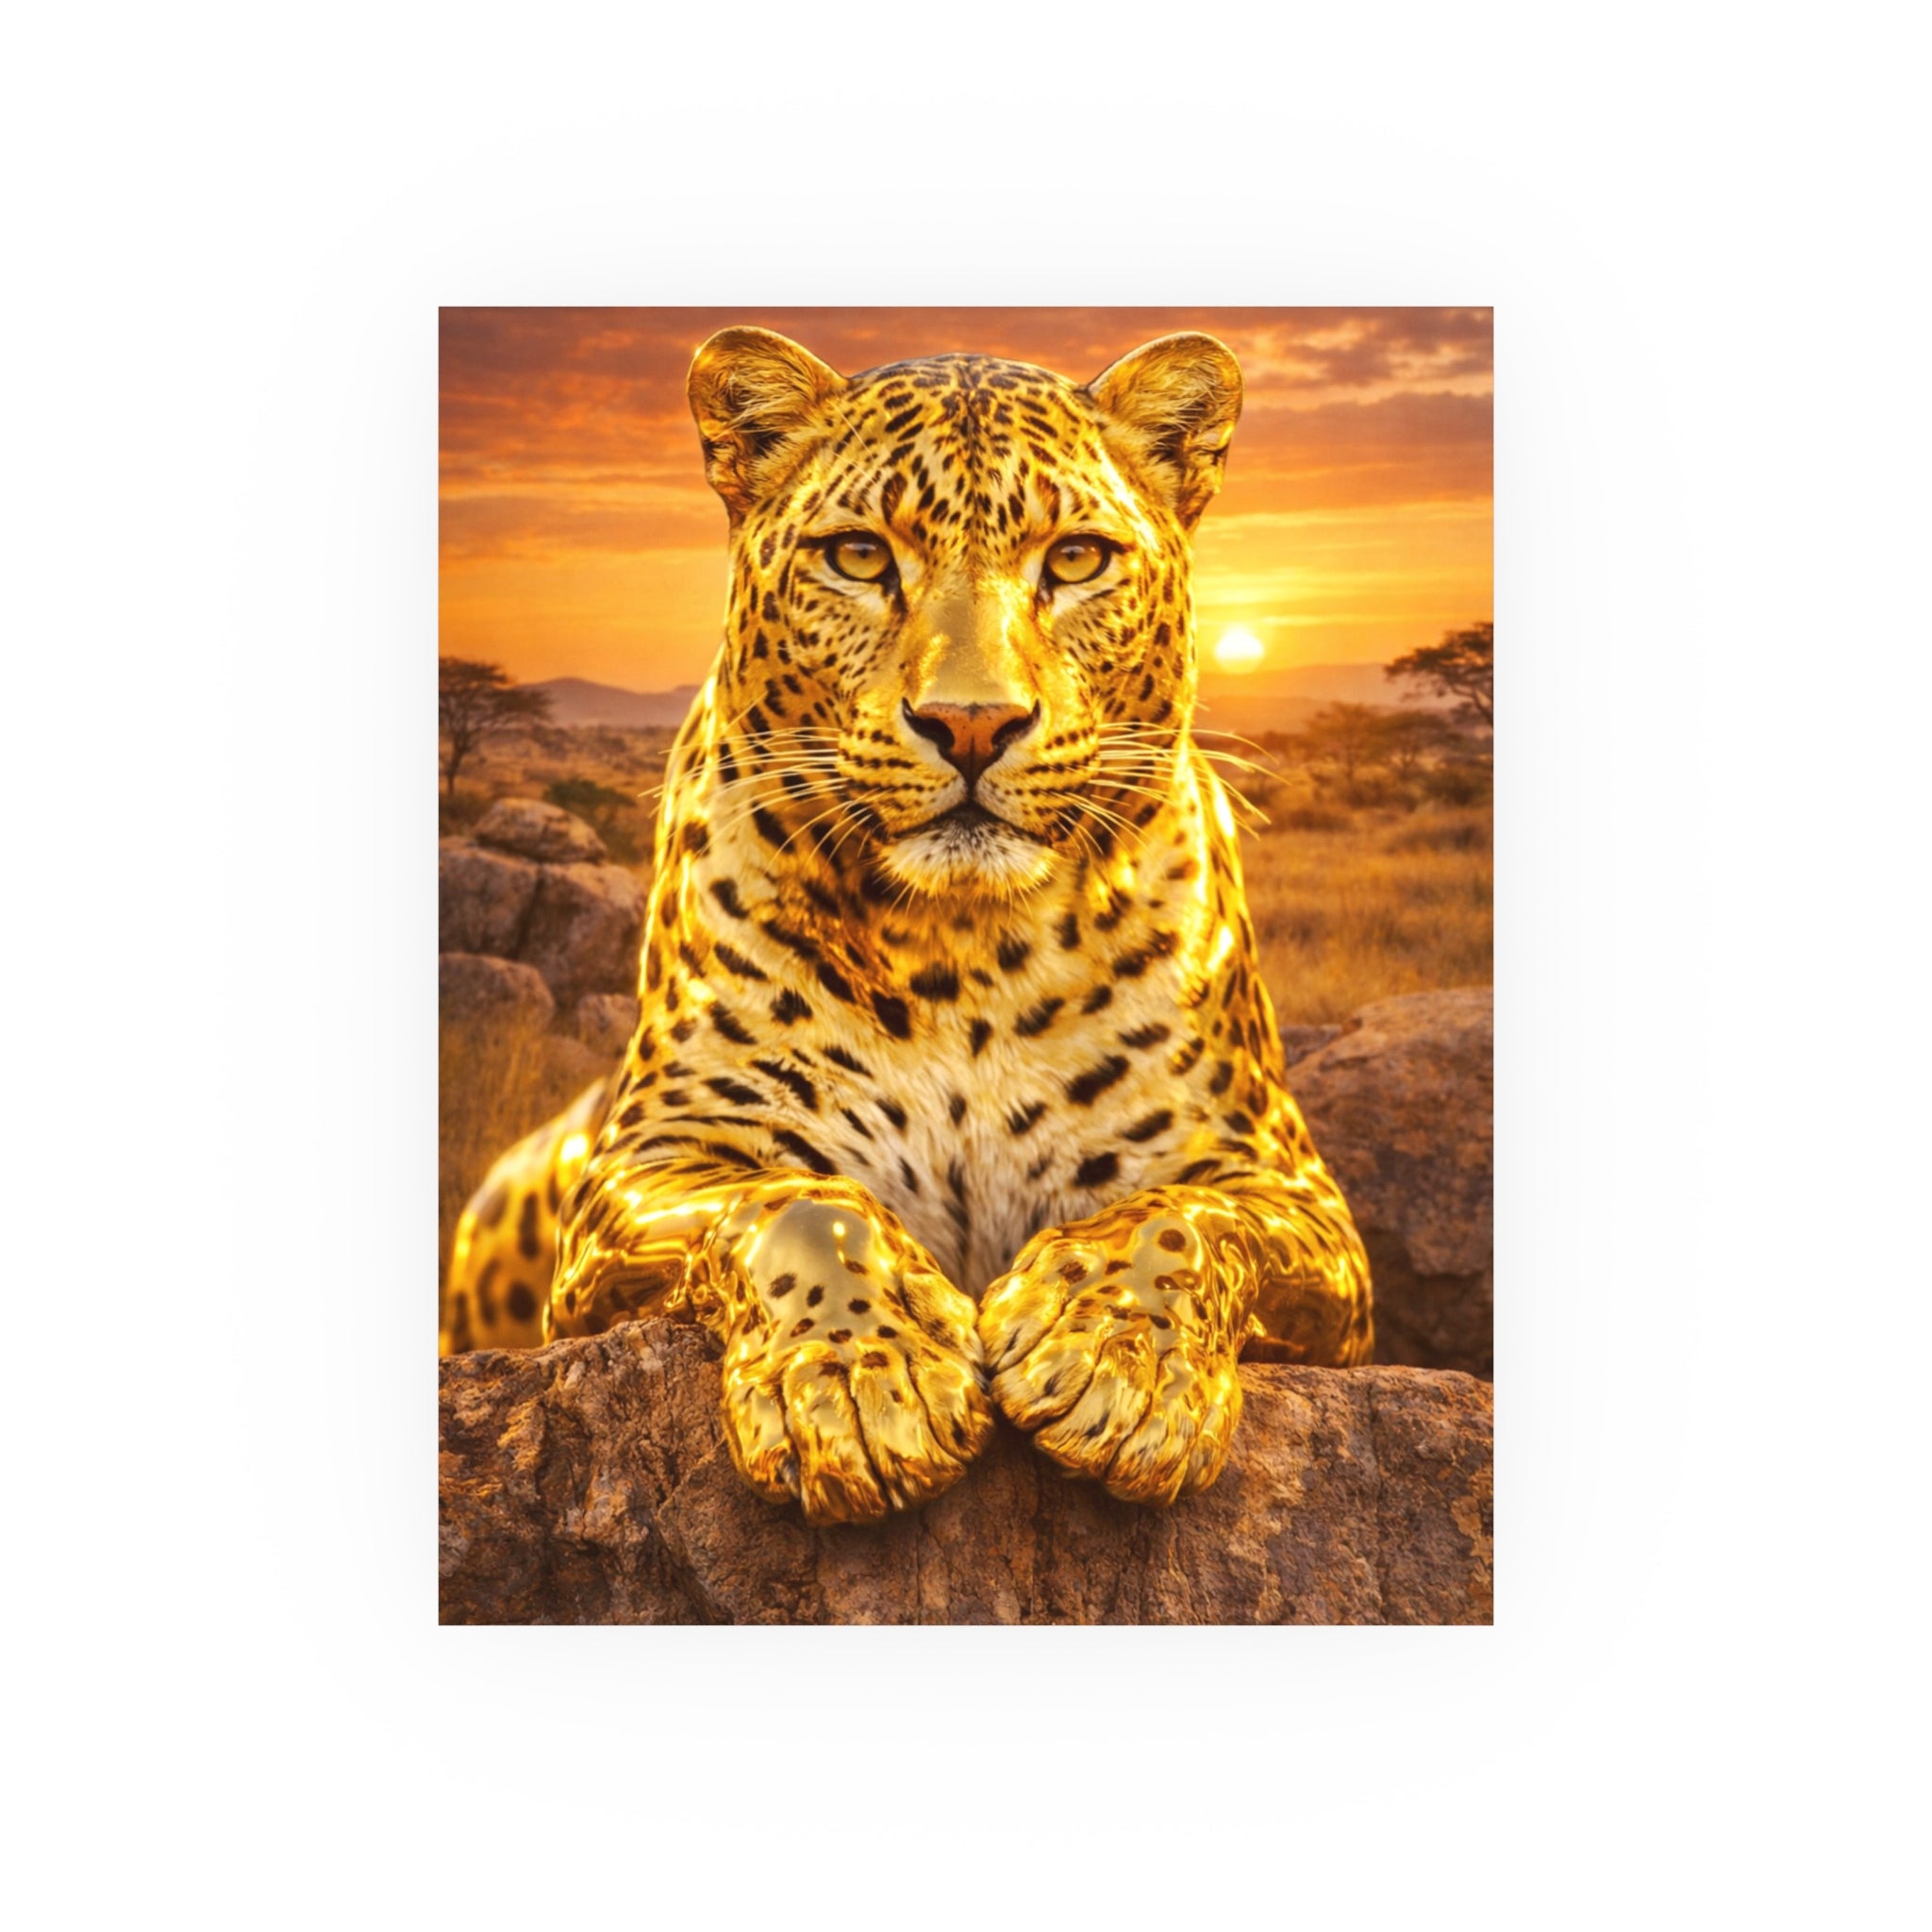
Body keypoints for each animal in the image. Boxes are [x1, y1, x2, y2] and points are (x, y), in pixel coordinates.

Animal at [441, 324, 1373, 1524]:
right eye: (856, 556)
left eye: (1075, 560)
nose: (969, 723)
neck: (963, 952)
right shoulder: (649, 1161)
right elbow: (795, 1197)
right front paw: (858, 1382)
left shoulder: (1283, 1183)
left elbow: (1177, 1218)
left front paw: (1115, 1363)